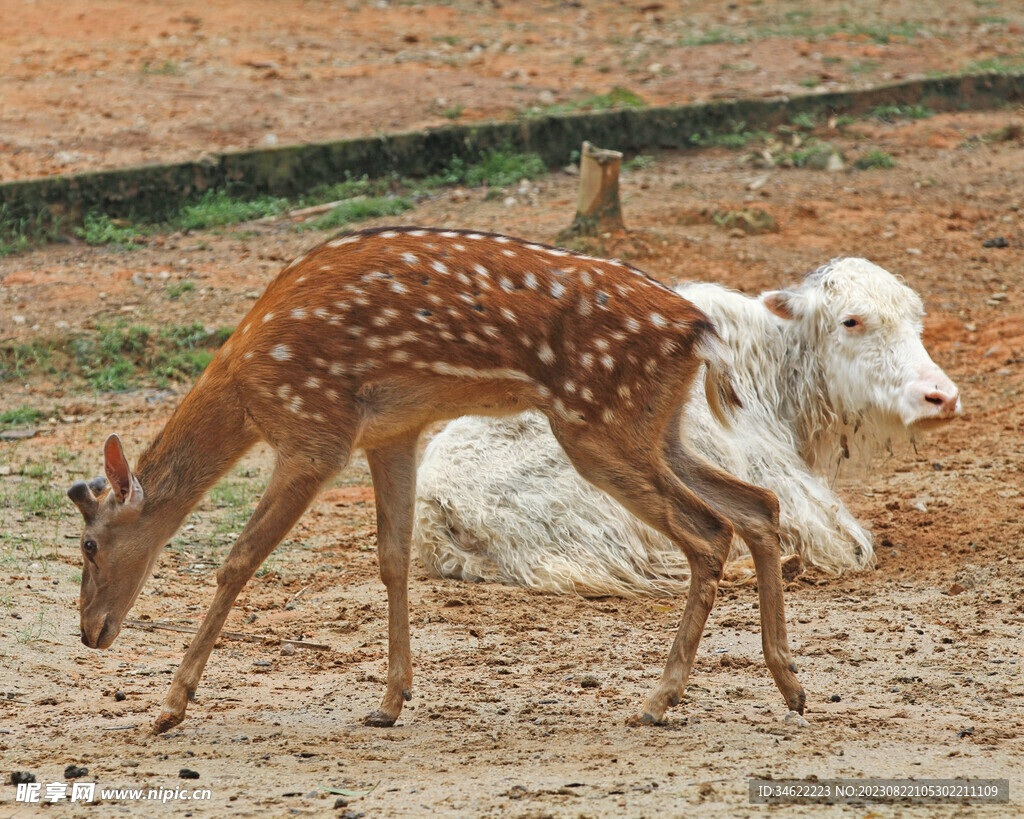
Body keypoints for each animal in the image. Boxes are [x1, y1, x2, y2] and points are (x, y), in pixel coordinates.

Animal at [67, 226, 805, 734]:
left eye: (89, 544)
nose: (89, 631)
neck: (246, 386)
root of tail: (700, 328)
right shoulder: (390, 431)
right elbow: (392, 557)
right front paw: (390, 701)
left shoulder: (316, 433)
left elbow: (238, 560)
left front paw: (170, 706)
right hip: (655, 426)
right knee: (758, 504)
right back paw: (790, 684)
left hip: (598, 424)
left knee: (709, 531)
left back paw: (657, 700)